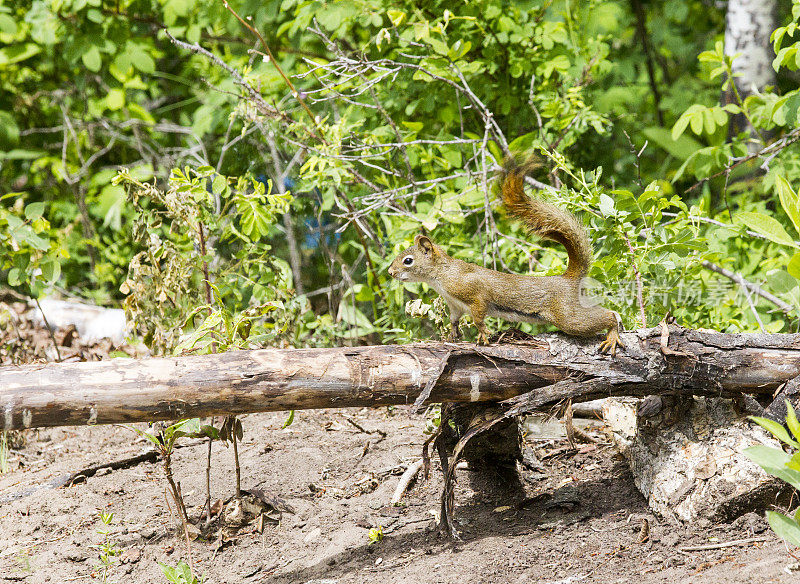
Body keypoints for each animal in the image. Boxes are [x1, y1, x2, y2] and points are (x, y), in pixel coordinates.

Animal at [390, 156, 624, 356]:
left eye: (408, 261)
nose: (391, 272)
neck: (442, 275)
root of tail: (569, 279)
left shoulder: (474, 293)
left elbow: (479, 316)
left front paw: (483, 335)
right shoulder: (454, 305)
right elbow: (454, 319)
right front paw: (453, 332)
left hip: (568, 315)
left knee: (606, 315)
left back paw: (613, 334)